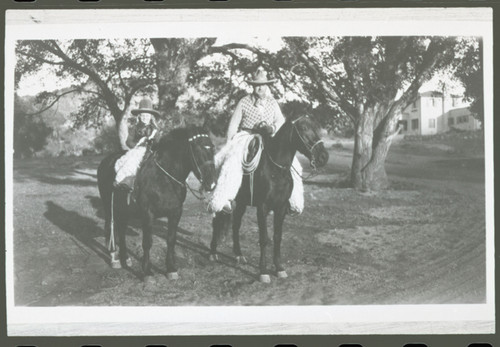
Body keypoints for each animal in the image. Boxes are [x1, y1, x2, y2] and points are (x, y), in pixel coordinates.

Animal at [96, 127, 216, 280]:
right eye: (196, 148)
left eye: (212, 148)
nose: (211, 184)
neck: (164, 177)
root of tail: (106, 161)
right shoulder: (148, 214)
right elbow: (147, 242)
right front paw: (147, 271)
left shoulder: (176, 213)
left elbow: (171, 240)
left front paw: (171, 269)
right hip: (108, 207)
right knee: (110, 229)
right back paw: (114, 259)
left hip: (124, 210)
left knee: (121, 230)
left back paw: (125, 258)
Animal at [210, 115, 330, 284]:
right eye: (303, 128)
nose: (323, 157)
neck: (276, 170)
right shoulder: (263, 208)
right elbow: (264, 238)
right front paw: (263, 272)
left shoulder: (281, 208)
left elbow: (277, 237)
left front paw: (279, 268)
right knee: (217, 221)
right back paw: (213, 252)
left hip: (241, 203)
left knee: (236, 225)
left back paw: (239, 255)